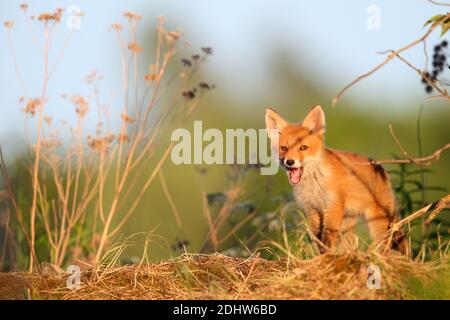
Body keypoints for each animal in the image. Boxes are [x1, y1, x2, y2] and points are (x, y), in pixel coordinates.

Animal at [266, 105, 406, 252]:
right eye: (284, 148)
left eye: (303, 148)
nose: (289, 162)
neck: (313, 185)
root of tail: (381, 168)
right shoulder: (312, 210)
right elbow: (317, 238)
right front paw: (320, 255)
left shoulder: (332, 208)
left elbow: (327, 237)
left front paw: (326, 255)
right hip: (348, 223)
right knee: (351, 243)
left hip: (377, 222)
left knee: (384, 244)